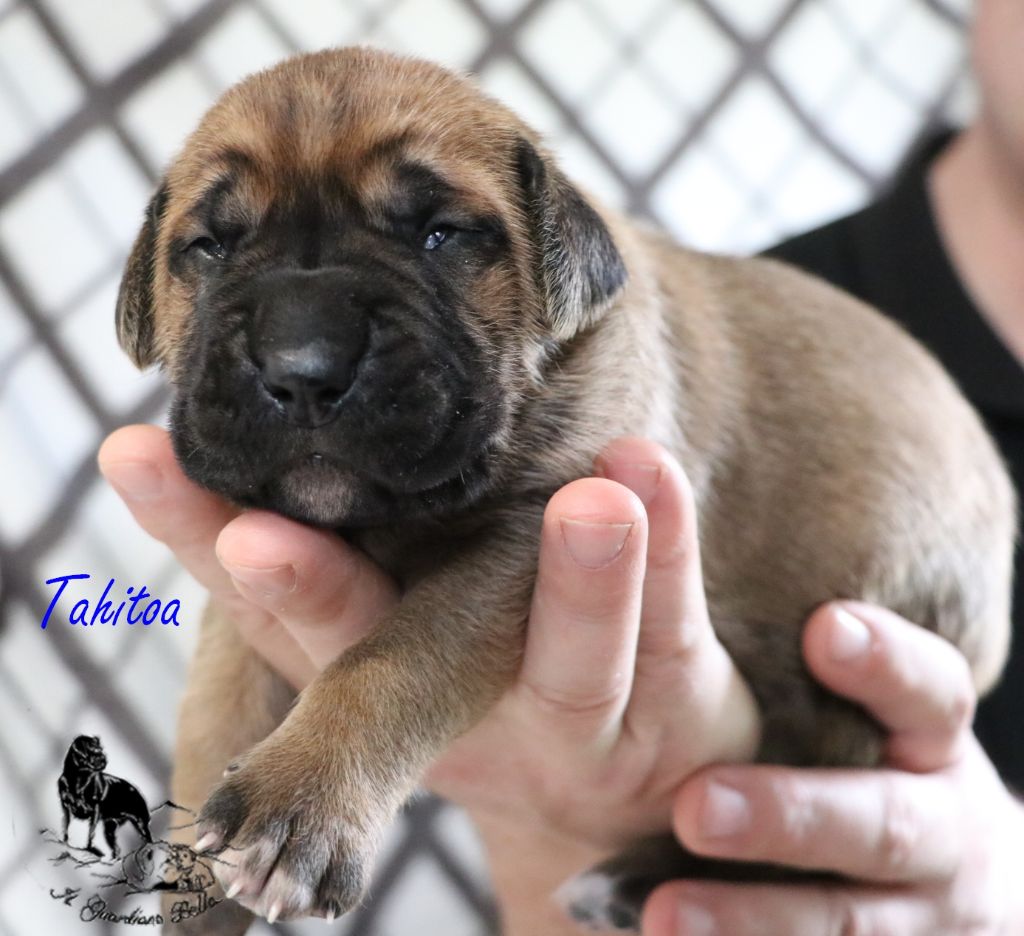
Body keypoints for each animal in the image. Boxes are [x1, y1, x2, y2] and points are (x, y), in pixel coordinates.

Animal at [114, 48, 1015, 932]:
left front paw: (301, 796)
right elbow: (217, 703)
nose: (303, 367)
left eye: (442, 236)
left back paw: (641, 878)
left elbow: (391, 659)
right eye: (208, 248)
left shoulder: (532, 535)